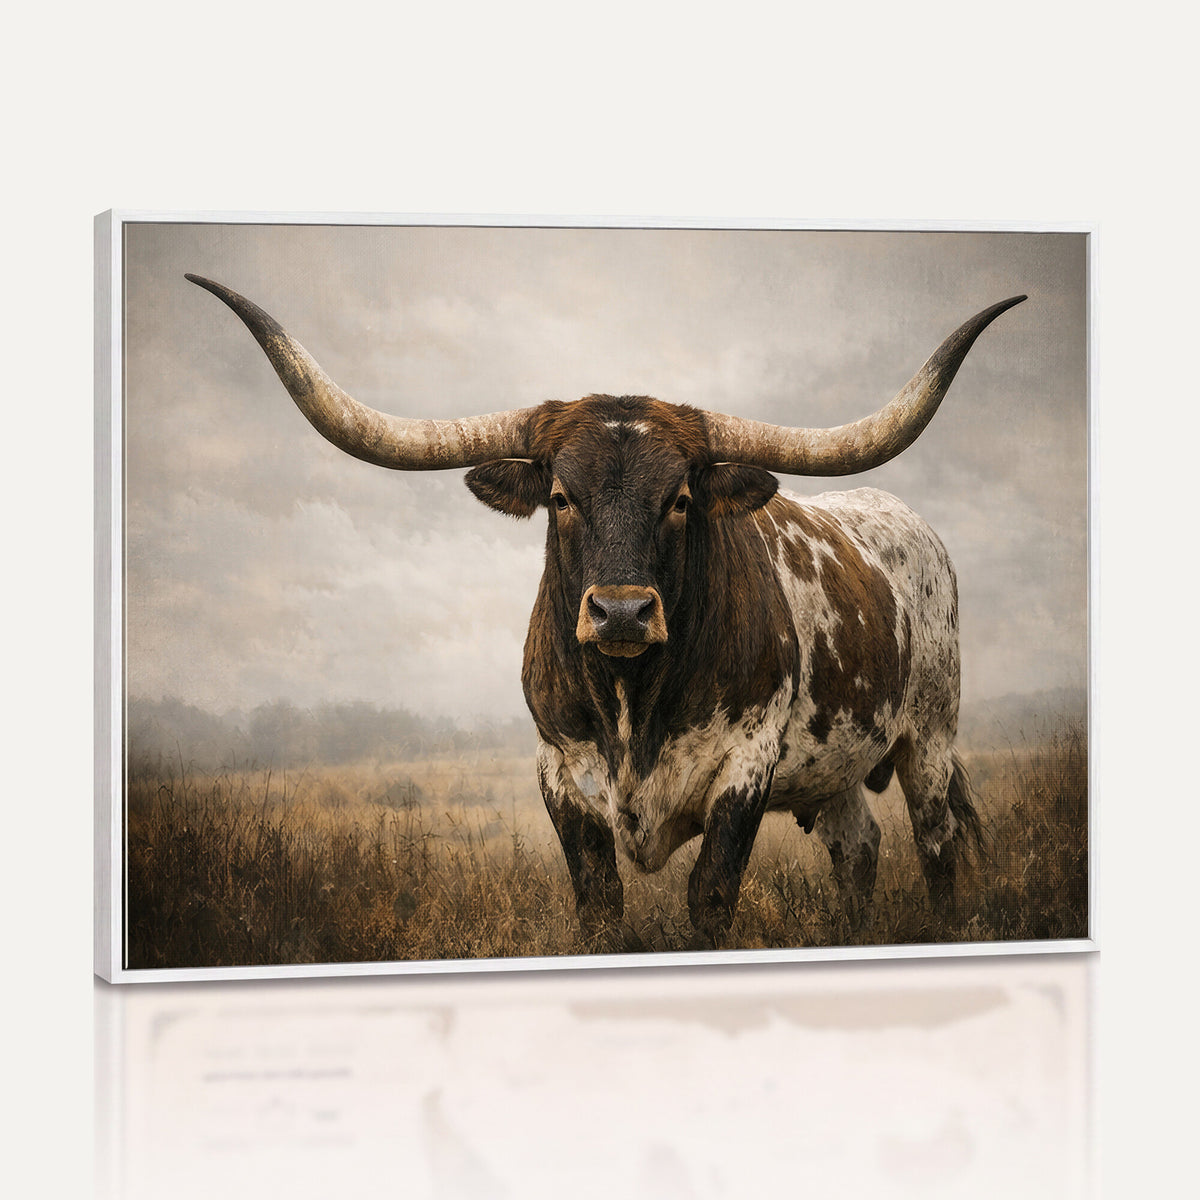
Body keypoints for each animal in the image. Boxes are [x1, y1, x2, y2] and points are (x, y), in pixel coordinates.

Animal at [188, 272, 1024, 950]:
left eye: (681, 498)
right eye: (561, 496)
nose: (621, 613)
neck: (634, 700)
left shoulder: (748, 763)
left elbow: (710, 895)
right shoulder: (559, 771)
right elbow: (599, 902)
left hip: (930, 735)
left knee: (936, 843)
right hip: (837, 767)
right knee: (859, 849)